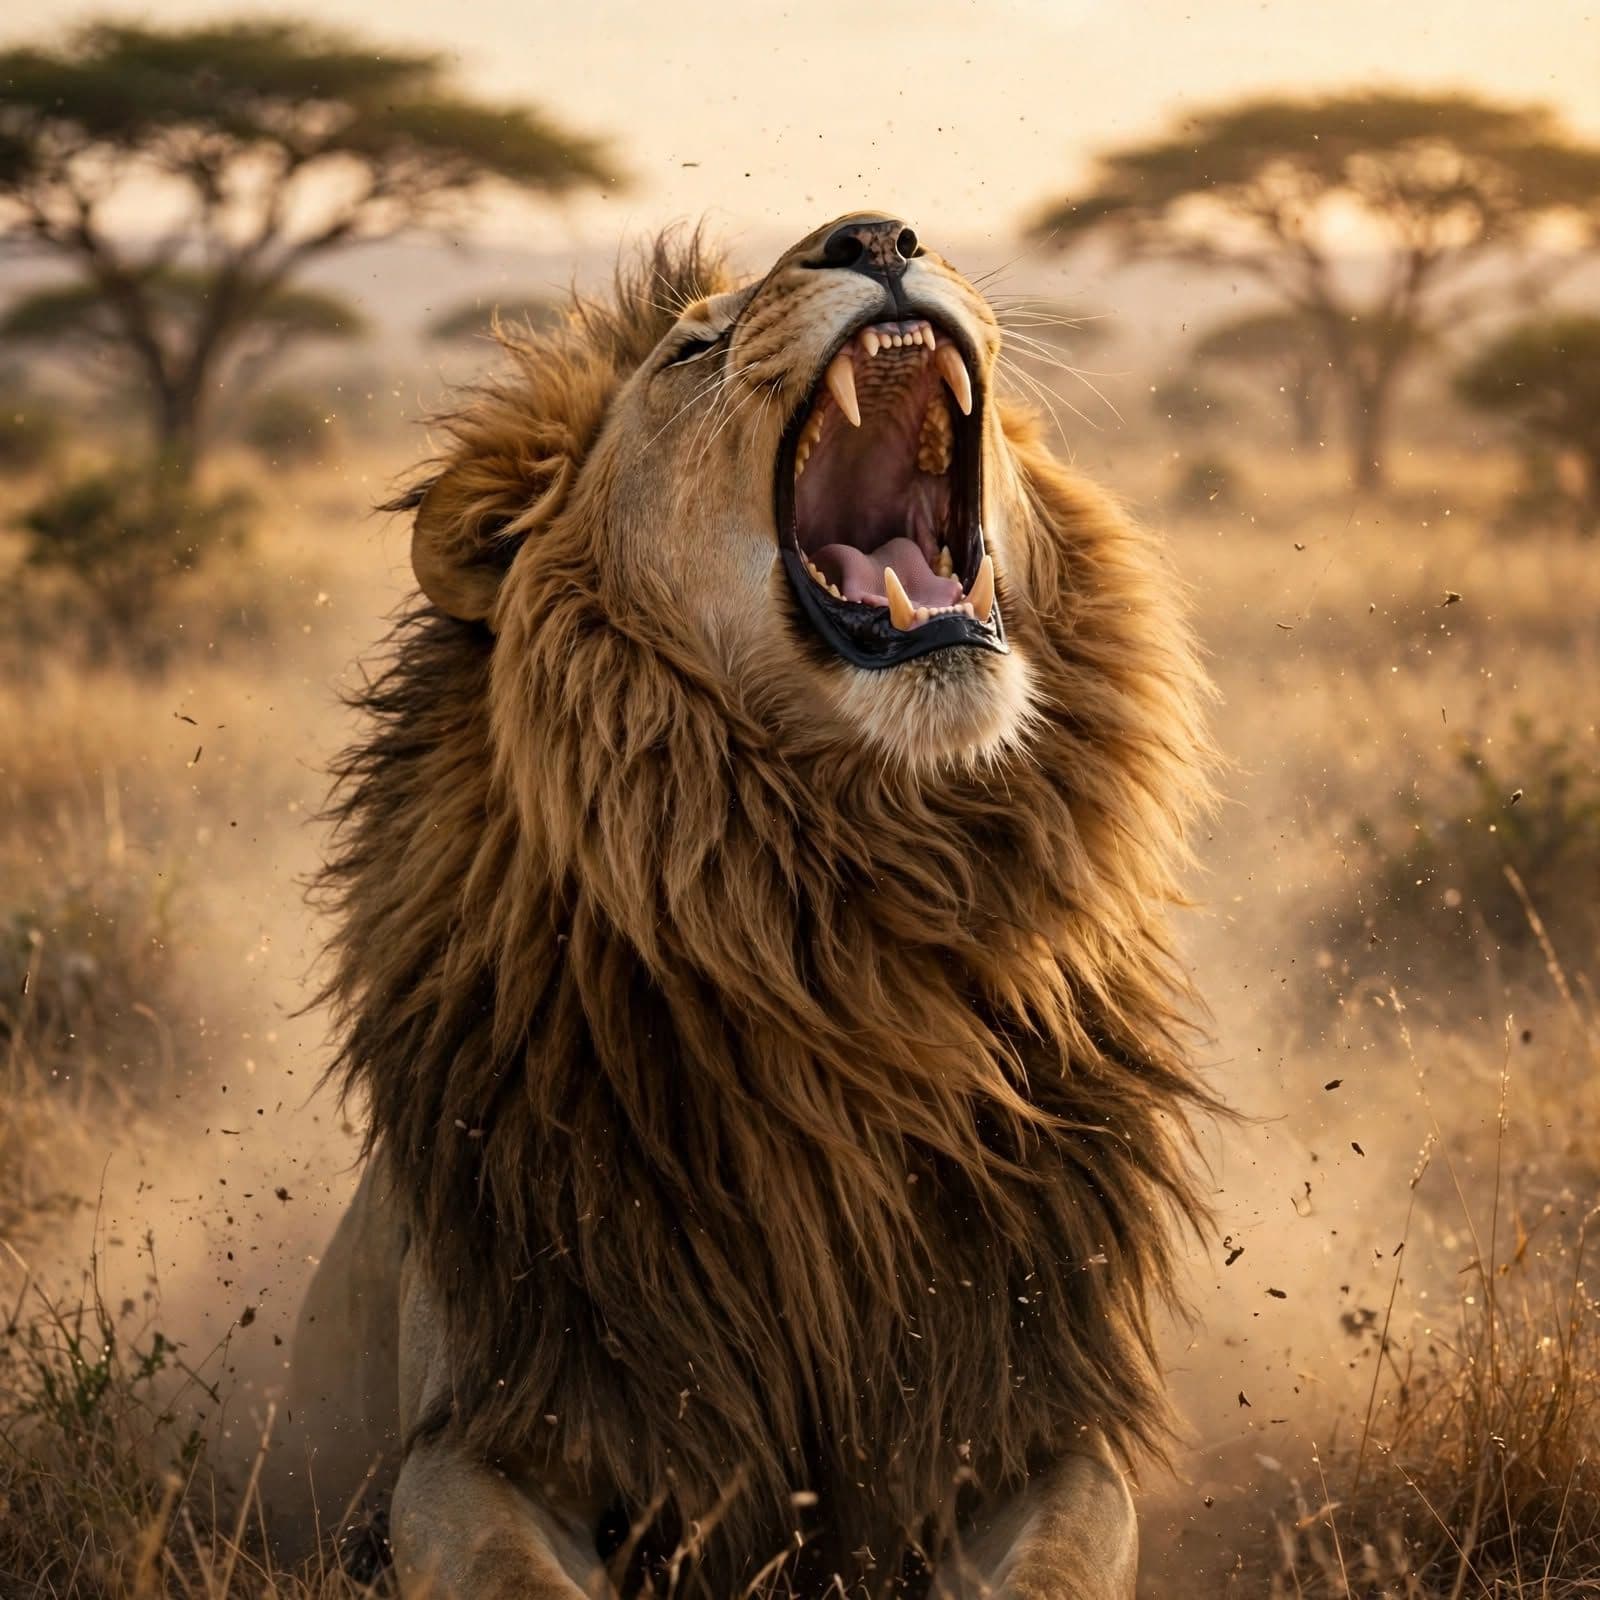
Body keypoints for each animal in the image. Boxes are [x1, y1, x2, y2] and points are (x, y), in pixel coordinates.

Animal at [289, 214, 1214, 1599]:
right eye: (690, 351)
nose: (877, 234)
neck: (840, 927)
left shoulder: (1025, 1417)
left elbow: (1051, 1566)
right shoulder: (487, 1429)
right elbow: (509, 1572)